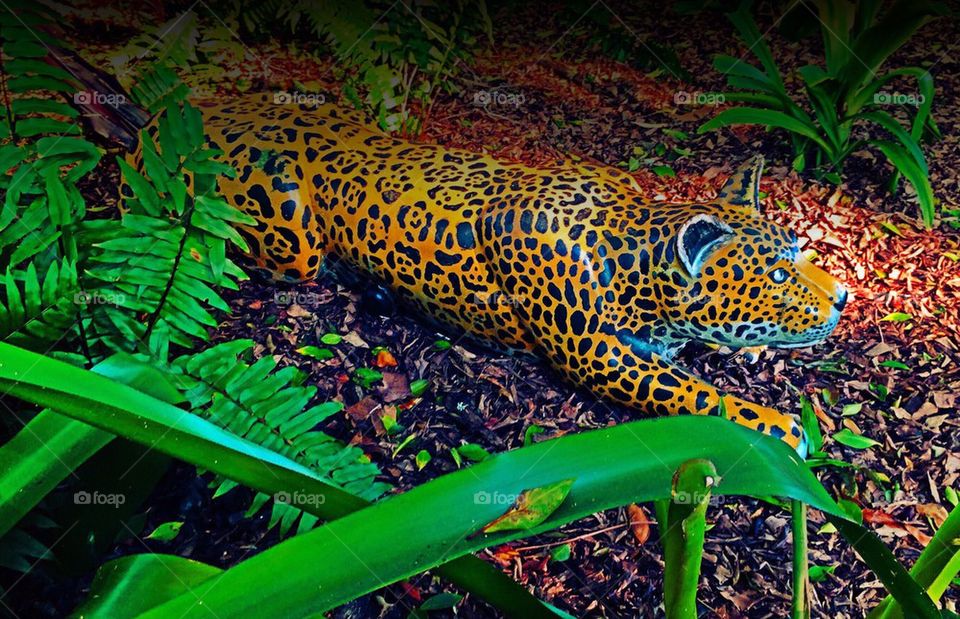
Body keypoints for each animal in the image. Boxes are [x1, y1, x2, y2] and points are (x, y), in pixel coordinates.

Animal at [128, 93, 848, 455]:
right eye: (773, 276)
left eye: (798, 251)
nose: (843, 296)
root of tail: (190, 111)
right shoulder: (596, 356)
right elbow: (693, 395)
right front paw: (773, 422)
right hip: (288, 239)